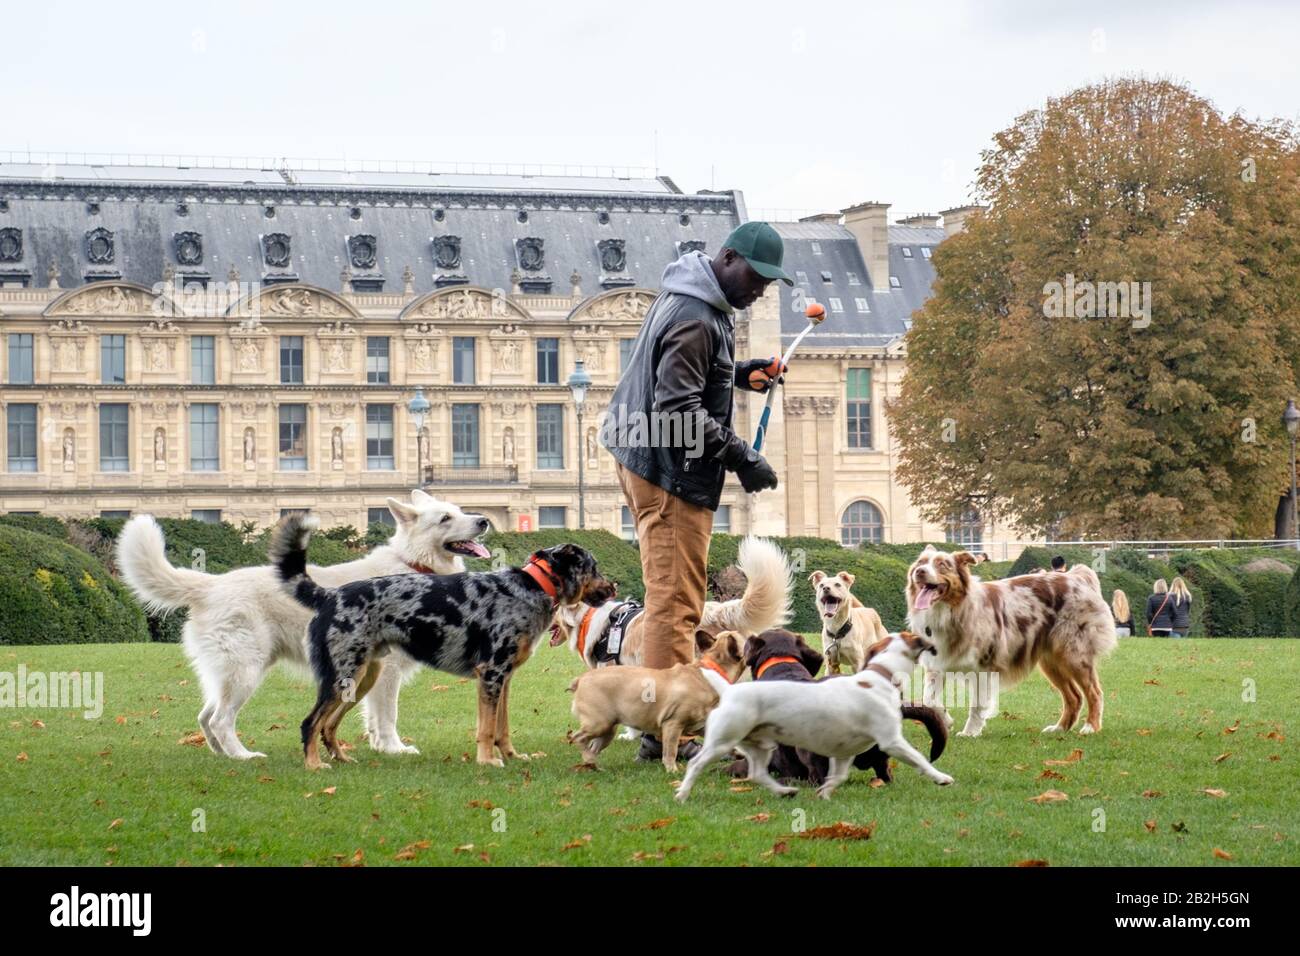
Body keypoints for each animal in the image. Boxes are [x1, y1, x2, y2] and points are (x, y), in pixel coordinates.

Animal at [115, 494, 488, 764]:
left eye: (458, 511)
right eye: (445, 518)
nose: (484, 520)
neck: (413, 564)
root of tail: (210, 584)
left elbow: (371, 717)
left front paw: (376, 747)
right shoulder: (389, 672)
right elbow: (387, 716)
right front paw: (393, 748)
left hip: (231, 673)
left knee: (207, 717)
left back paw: (223, 756)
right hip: (245, 671)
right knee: (220, 719)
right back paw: (244, 756)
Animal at [270, 515, 613, 770]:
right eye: (593, 566)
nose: (613, 588)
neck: (530, 588)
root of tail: (330, 594)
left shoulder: (504, 679)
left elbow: (502, 728)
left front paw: (512, 756)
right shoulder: (491, 674)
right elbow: (486, 728)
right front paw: (487, 761)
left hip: (361, 678)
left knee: (328, 725)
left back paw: (341, 758)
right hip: (342, 676)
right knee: (310, 723)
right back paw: (314, 765)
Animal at [566, 632, 748, 775]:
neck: (713, 669)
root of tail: (580, 680)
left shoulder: (703, 724)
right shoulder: (673, 725)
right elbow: (671, 750)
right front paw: (672, 770)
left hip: (608, 730)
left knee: (593, 746)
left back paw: (593, 765)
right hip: (598, 723)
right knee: (578, 738)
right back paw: (588, 758)